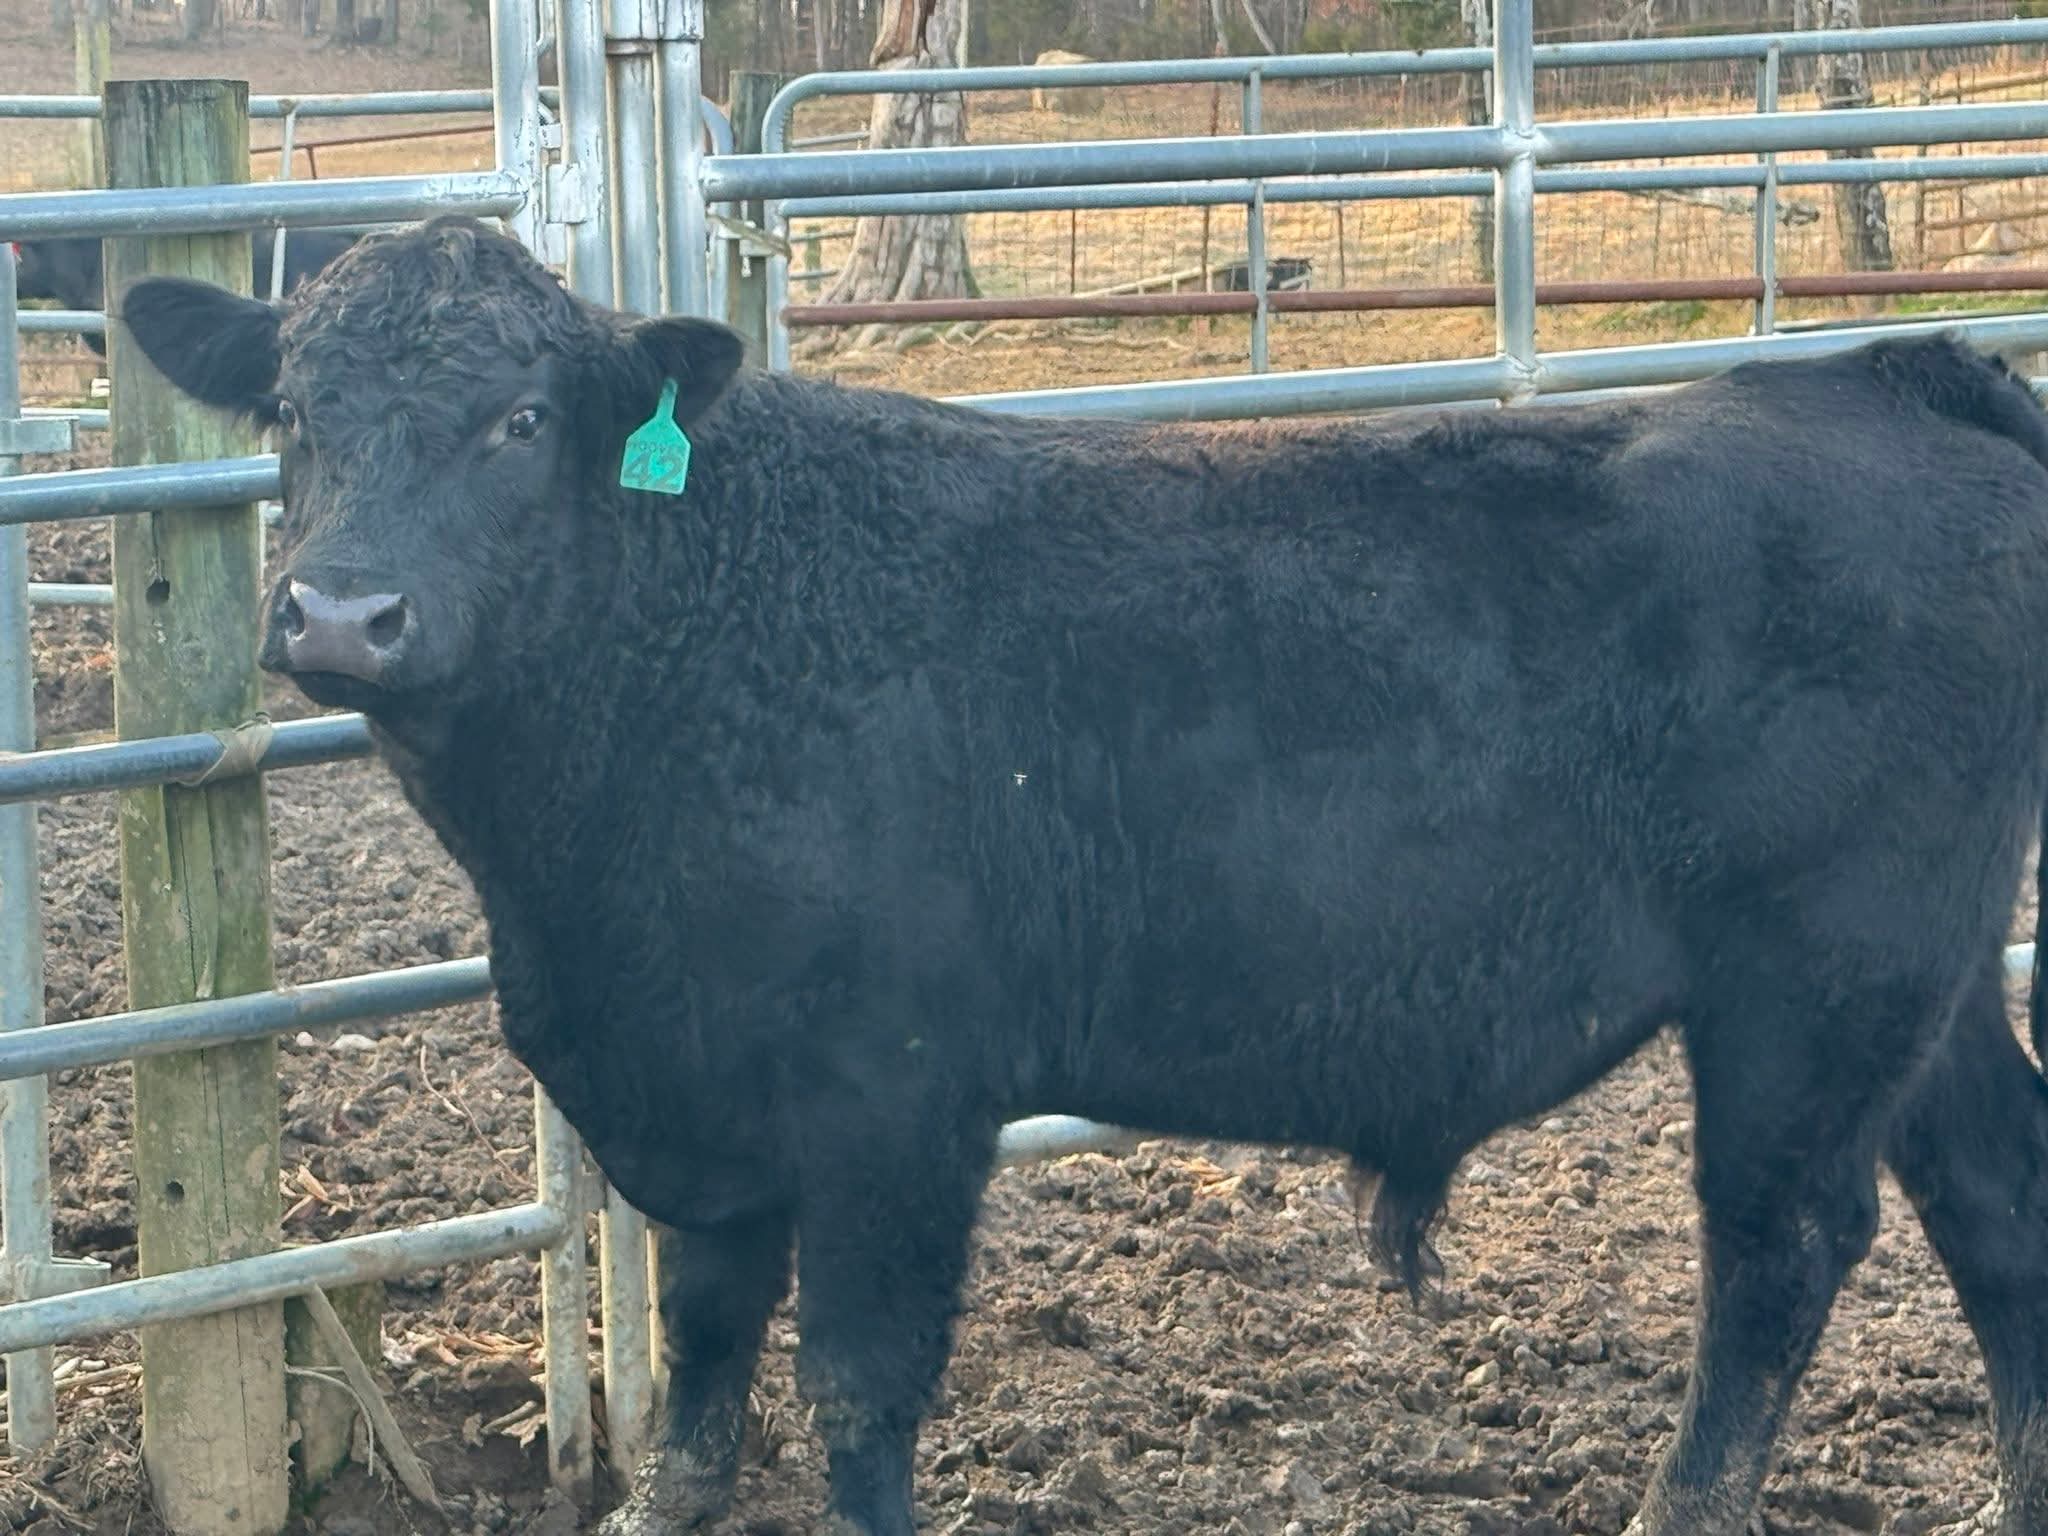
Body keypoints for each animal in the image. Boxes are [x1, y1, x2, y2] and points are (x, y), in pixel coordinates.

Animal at [117, 215, 2048, 1536]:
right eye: (293, 411)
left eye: (520, 419)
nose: (343, 612)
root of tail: (1878, 374)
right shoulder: (703, 1121)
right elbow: (698, 1401)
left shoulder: (895, 1098)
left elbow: (855, 1395)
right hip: (1935, 981)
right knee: (1997, 1199)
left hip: (1815, 986)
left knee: (1780, 1249)